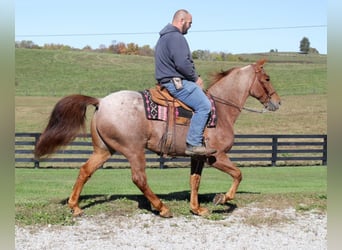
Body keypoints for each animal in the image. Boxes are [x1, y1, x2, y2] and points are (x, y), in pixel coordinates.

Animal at [34, 59, 280, 218]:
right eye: (267, 78)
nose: (277, 102)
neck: (220, 110)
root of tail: (101, 102)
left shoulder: (198, 157)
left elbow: (195, 181)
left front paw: (197, 209)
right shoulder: (217, 156)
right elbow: (238, 174)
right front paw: (223, 198)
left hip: (103, 150)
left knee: (85, 170)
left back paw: (75, 206)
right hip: (134, 150)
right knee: (139, 179)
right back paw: (162, 208)